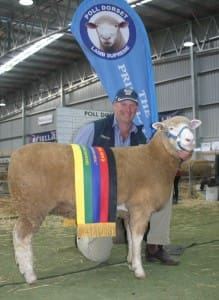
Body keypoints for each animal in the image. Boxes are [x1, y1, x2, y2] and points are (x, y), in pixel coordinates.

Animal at [7, 115, 201, 284]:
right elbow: (138, 238)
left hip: (27, 206)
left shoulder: (129, 212)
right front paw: (139, 270)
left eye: (190, 127)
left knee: (17, 234)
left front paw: (131, 263)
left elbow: (131, 238)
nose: (190, 140)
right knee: (22, 236)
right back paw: (29, 275)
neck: (154, 159)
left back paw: (23, 269)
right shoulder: (141, 207)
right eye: (170, 128)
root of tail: (15, 155)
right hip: (33, 205)